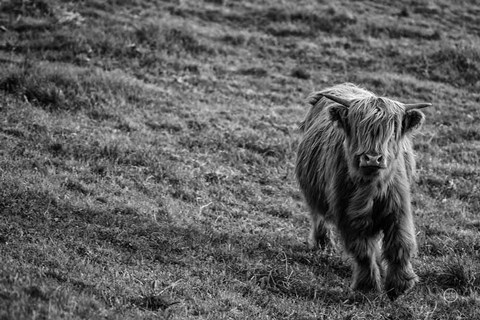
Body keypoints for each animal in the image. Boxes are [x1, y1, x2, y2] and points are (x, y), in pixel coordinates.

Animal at [296, 83, 432, 300]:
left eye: (392, 129)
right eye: (358, 127)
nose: (372, 158)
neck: (371, 188)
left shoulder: (399, 209)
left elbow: (400, 244)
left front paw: (400, 285)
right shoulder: (348, 215)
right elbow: (363, 251)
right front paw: (367, 286)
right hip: (314, 190)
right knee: (318, 215)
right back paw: (323, 243)